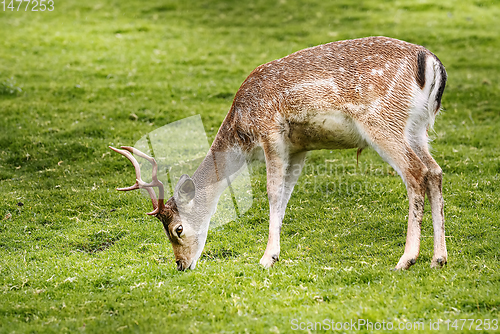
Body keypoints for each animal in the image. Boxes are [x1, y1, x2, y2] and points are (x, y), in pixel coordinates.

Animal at [111, 36, 448, 272]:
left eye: (177, 229)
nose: (181, 264)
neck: (243, 133)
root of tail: (432, 63)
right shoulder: (299, 148)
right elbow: (285, 196)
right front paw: (274, 253)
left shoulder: (271, 133)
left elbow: (273, 193)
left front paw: (266, 258)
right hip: (417, 128)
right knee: (435, 171)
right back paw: (439, 258)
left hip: (383, 122)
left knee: (415, 173)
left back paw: (407, 259)